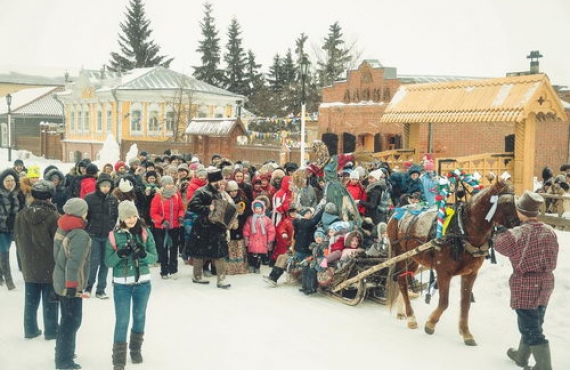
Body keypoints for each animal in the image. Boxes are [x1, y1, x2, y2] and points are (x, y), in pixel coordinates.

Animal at [384, 178, 516, 346]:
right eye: (506, 203)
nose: (518, 222)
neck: (461, 231)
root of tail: (398, 210)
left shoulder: (470, 274)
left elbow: (465, 305)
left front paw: (466, 333)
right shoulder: (443, 272)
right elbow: (444, 302)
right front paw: (431, 324)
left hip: (413, 258)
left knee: (404, 279)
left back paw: (403, 312)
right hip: (400, 253)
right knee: (401, 281)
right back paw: (411, 317)